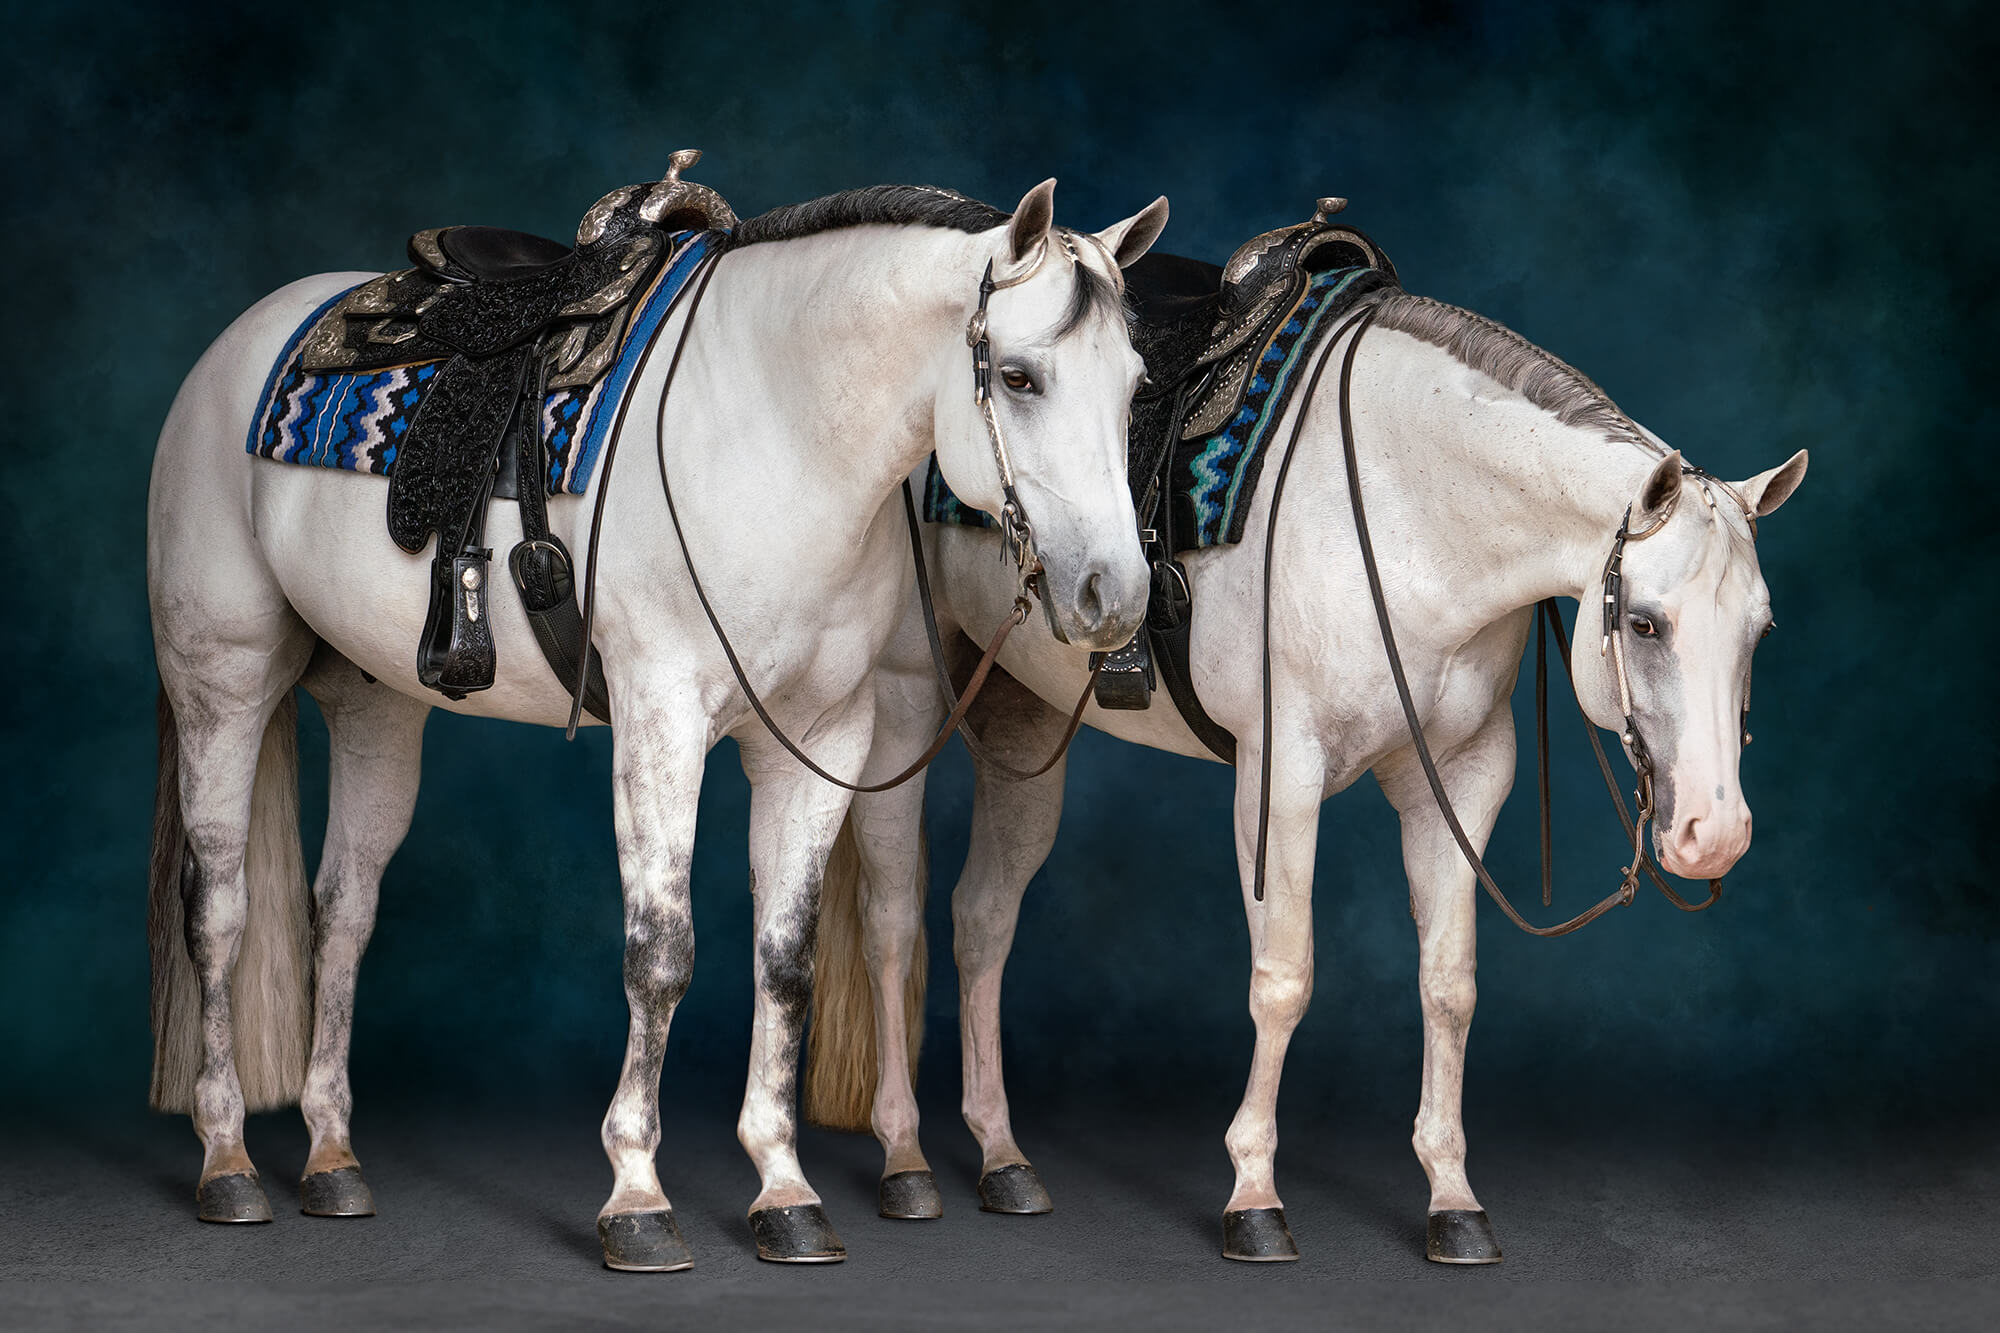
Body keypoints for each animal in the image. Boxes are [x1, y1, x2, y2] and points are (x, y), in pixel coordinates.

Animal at [145, 167, 1172, 1270]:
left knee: (342, 909)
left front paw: (784, 1188)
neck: (776, 433)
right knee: (220, 906)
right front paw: (636, 1194)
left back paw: (333, 1158)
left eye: (1132, 387)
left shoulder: (820, 741)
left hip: (378, 703)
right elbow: (662, 951)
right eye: (1018, 378)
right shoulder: (662, 722)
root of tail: (234, 345)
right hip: (222, 681)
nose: (1114, 595)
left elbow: (785, 960)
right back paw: (227, 1159)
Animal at [803, 264, 1809, 1263]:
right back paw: (904, 1160)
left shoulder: (1466, 779)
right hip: (903, 704)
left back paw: (1002, 1156)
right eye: (1644, 622)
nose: (1714, 834)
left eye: (1761, 631)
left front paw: (1452, 1198)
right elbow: (1283, 978)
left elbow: (1450, 985)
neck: (1408, 509)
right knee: (893, 921)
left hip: (1023, 718)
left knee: (981, 919)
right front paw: (1253, 1195)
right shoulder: (1281, 777)